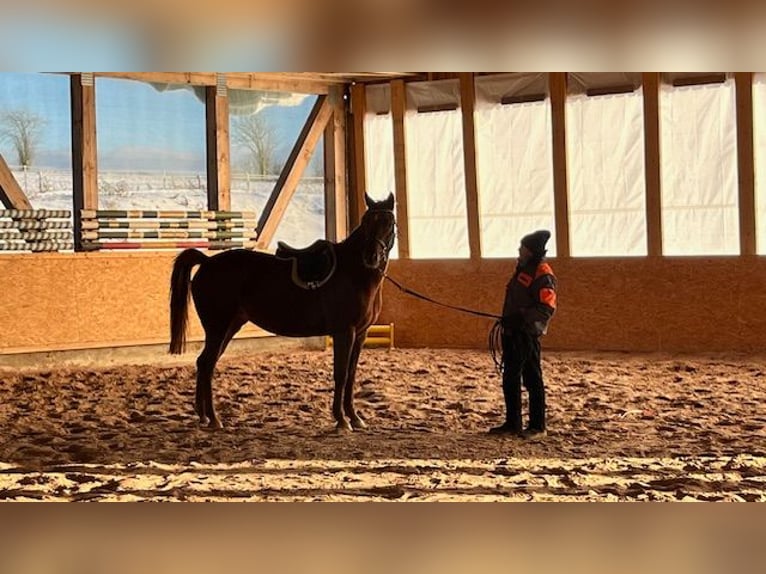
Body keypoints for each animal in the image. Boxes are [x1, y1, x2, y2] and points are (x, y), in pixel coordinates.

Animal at [168, 192, 396, 431]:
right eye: (366, 222)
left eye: (389, 222)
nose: (371, 257)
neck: (353, 273)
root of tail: (207, 261)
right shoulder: (344, 332)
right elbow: (341, 374)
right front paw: (342, 420)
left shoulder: (360, 334)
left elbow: (351, 375)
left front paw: (355, 417)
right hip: (218, 328)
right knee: (207, 364)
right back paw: (214, 418)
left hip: (229, 327)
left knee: (204, 364)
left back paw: (204, 416)